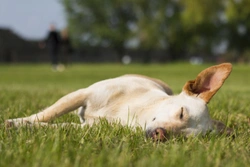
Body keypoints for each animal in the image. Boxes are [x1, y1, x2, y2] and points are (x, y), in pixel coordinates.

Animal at [5, 63, 232, 142]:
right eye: (182, 113)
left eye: (185, 138)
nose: (161, 135)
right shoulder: (81, 94)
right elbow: (47, 114)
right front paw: (18, 122)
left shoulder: (88, 128)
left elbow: (58, 126)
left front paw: (27, 126)